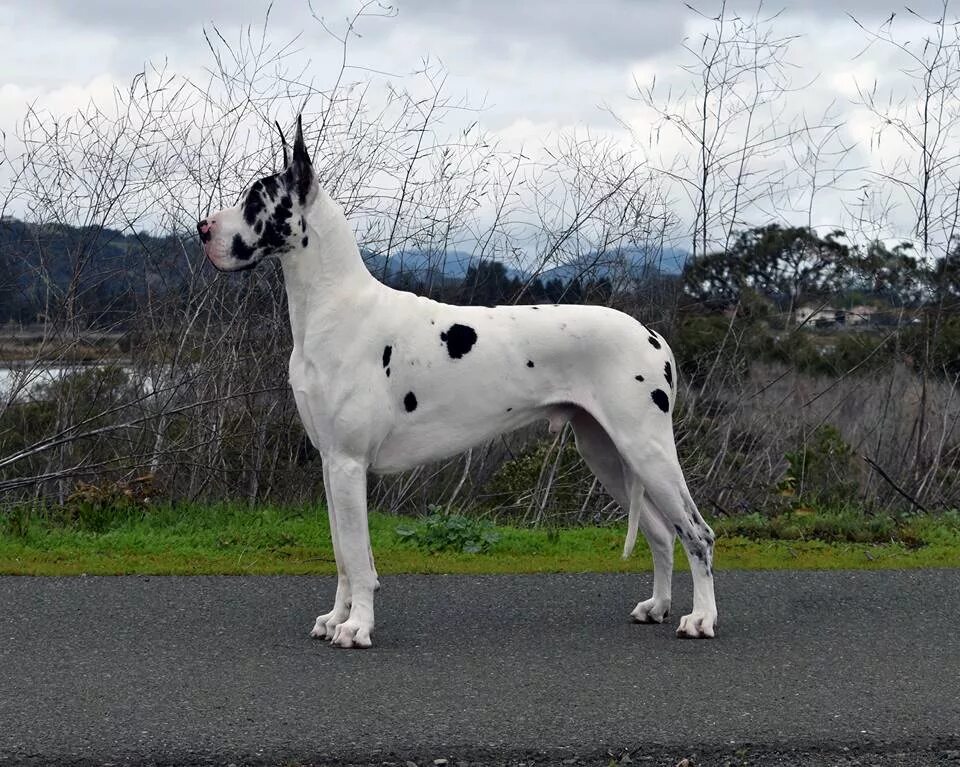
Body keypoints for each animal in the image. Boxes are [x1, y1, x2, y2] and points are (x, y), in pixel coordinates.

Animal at [199, 118, 716, 648]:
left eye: (256, 201)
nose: (202, 228)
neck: (333, 304)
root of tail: (653, 335)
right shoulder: (331, 463)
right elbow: (343, 555)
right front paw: (336, 617)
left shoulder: (348, 463)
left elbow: (358, 561)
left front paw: (357, 626)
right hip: (606, 453)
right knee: (662, 532)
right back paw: (657, 606)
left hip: (646, 449)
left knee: (698, 533)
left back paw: (701, 617)